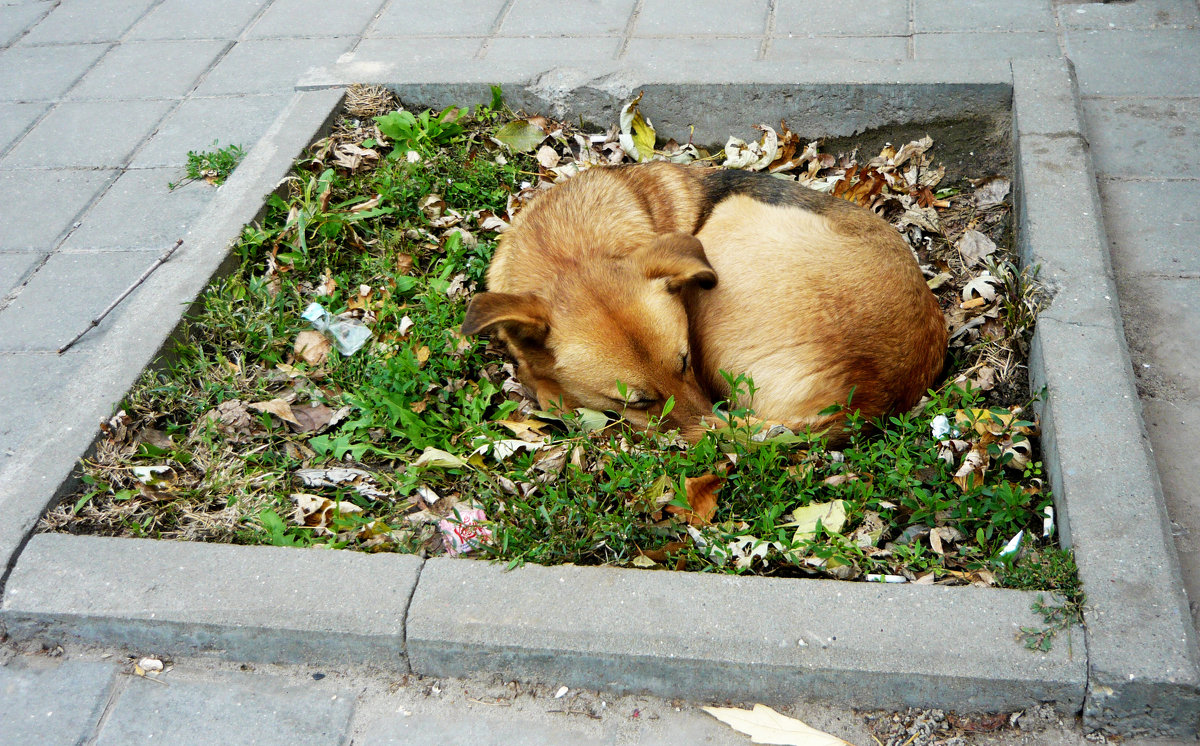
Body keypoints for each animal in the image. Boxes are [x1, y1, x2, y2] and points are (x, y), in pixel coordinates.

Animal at [460, 161, 945, 443]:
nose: (705, 435)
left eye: (686, 360)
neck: (566, 253)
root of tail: (858, 399)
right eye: (638, 401)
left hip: (731, 216)